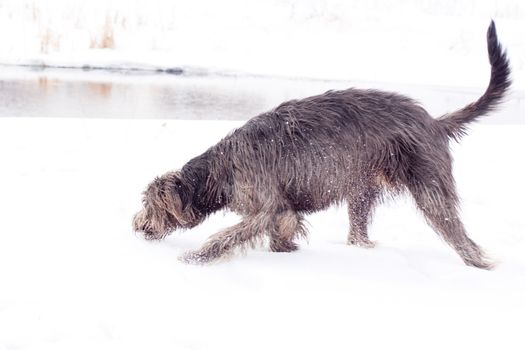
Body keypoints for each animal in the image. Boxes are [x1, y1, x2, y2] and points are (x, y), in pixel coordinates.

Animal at [133, 21, 510, 268]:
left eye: (149, 206)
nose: (137, 227)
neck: (219, 169)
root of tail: (433, 121)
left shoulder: (263, 205)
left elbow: (228, 235)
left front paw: (195, 257)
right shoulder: (283, 208)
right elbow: (285, 226)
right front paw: (286, 249)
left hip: (429, 185)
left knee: (456, 230)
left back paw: (479, 262)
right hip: (362, 189)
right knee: (359, 231)